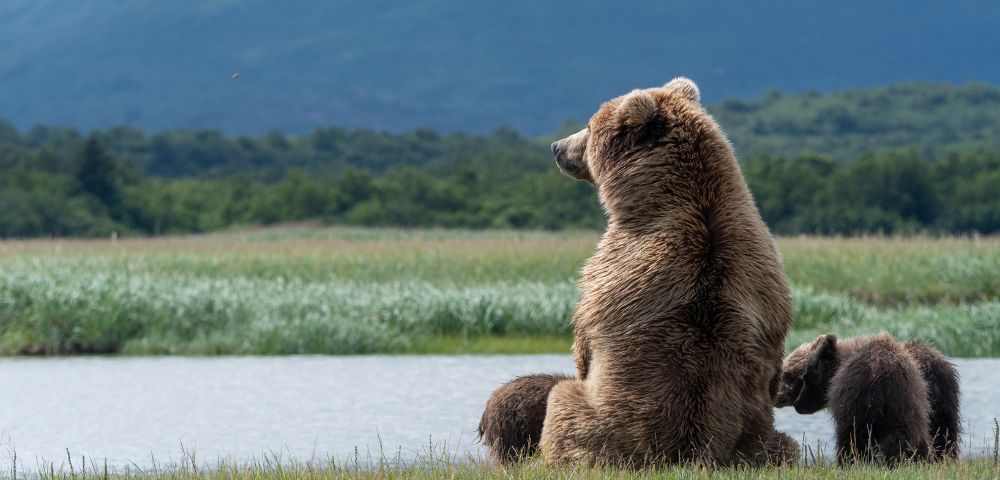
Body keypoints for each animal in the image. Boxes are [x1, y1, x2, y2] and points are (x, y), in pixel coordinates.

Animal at [534, 77, 797, 467]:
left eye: (589, 123)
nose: (557, 147)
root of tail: (691, 451)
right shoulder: (763, 270)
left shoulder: (615, 260)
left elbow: (585, 332)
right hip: (761, 439)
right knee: (787, 444)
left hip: (602, 423)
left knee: (561, 401)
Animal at [775, 333, 950, 467]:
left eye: (805, 377)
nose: (798, 404)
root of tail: (884, 376)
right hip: (910, 402)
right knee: (911, 437)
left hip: (861, 402)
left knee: (850, 439)